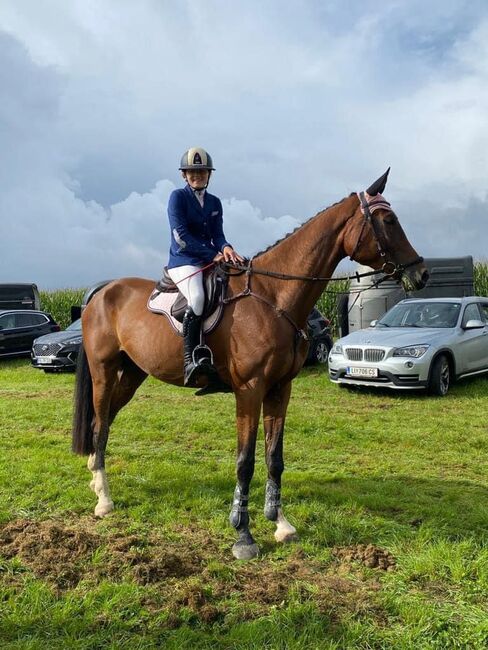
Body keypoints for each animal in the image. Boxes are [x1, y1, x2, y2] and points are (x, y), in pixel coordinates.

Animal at [71, 171, 428, 556]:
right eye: (388, 221)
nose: (422, 274)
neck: (274, 299)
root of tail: (103, 291)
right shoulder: (249, 390)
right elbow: (245, 461)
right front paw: (243, 535)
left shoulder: (279, 389)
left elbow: (274, 458)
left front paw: (281, 524)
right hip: (104, 372)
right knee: (100, 423)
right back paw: (104, 500)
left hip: (133, 374)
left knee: (105, 421)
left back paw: (95, 478)